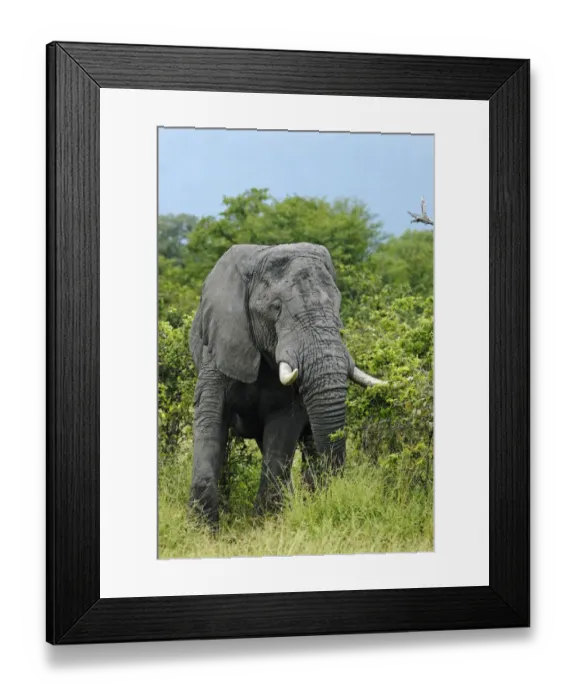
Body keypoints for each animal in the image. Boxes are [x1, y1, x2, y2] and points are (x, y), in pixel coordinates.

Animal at [188, 242, 384, 527]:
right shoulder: (218, 346)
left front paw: (266, 523)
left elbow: (283, 429)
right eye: (276, 308)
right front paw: (203, 528)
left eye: (338, 307)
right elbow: (210, 419)